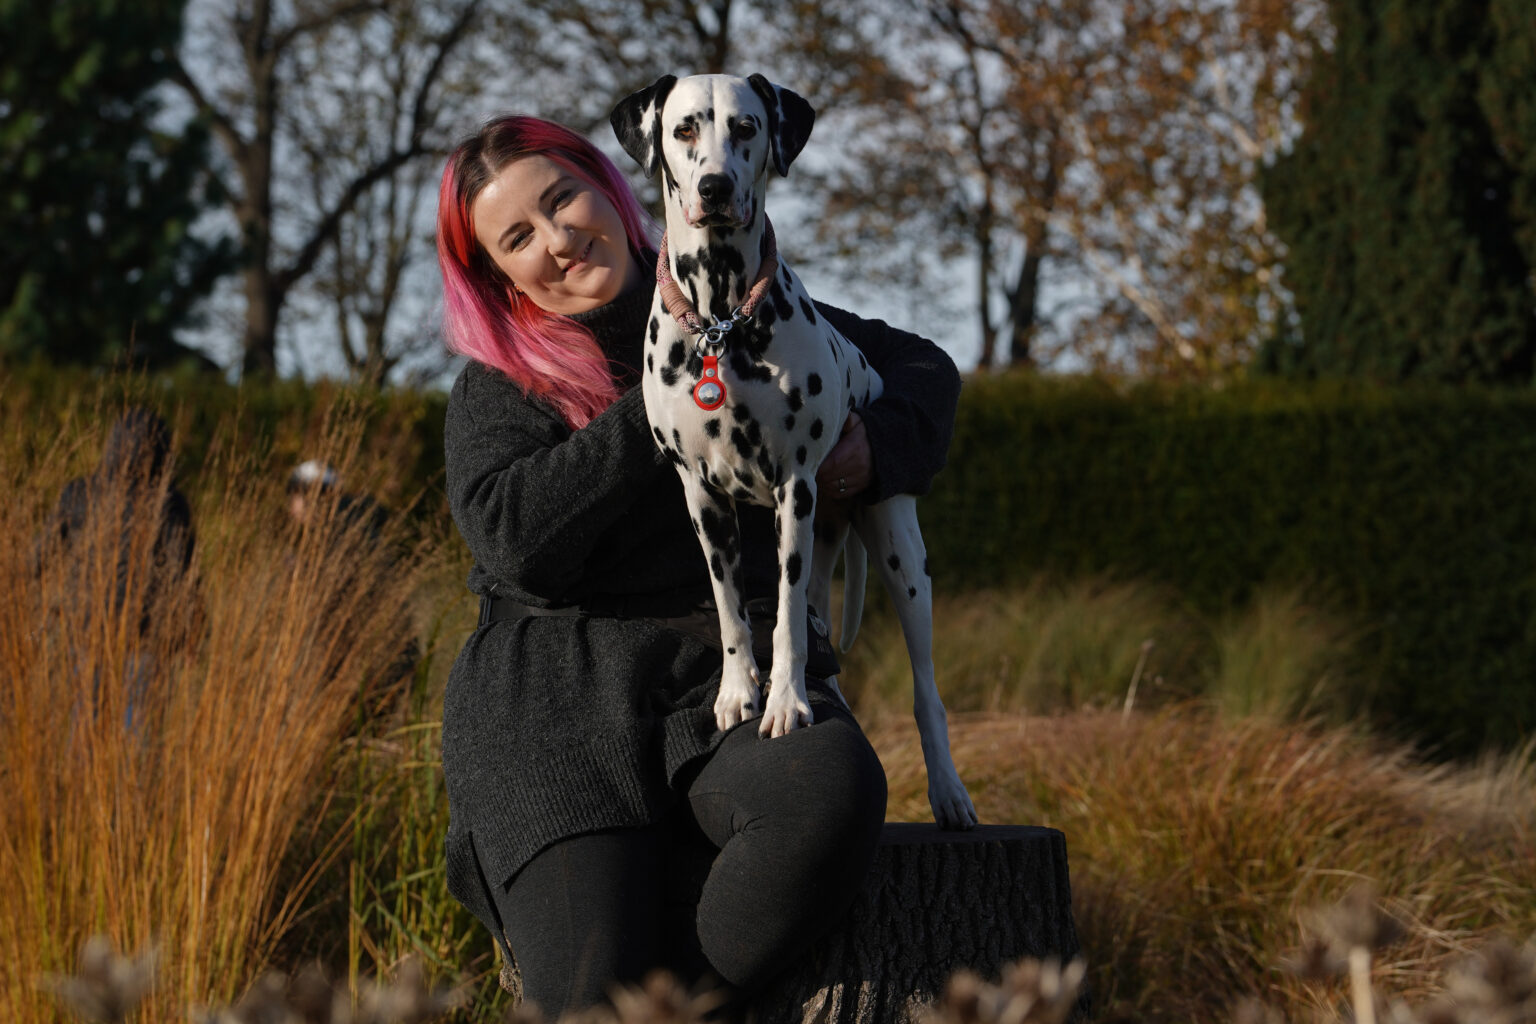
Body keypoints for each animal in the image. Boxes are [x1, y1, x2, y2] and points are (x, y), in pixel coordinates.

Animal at [608, 72, 970, 829]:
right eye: (684, 128)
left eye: (746, 127)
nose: (714, 186)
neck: (720, 318)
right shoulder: (703, 499)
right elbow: (733, 611)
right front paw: (737, 692)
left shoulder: (793, 489)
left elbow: (784, 626)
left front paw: (784, 702)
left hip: (903, 561)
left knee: (924, 689)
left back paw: (950, 792)